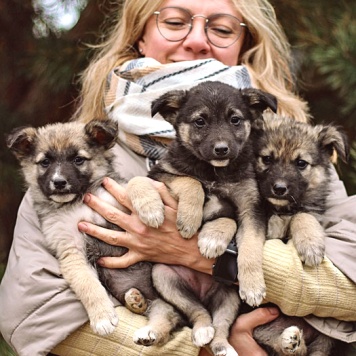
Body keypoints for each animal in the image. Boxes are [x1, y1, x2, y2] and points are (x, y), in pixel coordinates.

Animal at [6, 121, 156, 336]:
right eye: (45, 162)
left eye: (78, 159)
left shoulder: (114, 194)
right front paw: (102, 317)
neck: (78, 202)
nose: (59, 182)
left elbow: (136, 182)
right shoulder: (71, 249)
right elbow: (87, 284)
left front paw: (151, 208)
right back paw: (136, 300)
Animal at [128, 81, 278, 356]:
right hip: (164, 277)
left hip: (229, 296)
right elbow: (190, 182)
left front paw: (252, 284)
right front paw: (188, 219)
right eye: (200, 121)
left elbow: (247, 240)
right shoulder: (163, 175)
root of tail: (203, 293)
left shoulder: (251, 207)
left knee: (220, 325)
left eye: (235, 119)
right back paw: (193, 330)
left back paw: (221, 346)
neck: (214, 172)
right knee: (196, 313)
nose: (221, 149)